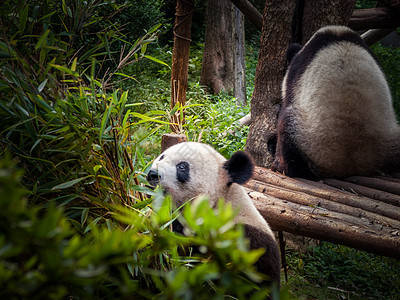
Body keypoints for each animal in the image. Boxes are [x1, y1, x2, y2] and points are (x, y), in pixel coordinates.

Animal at [272, 25, 400, 178]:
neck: (338, 35)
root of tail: (350, 167)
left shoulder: (296, 73)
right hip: (391, 141)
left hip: (309, 138)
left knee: (287, 130)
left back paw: (281, 164)